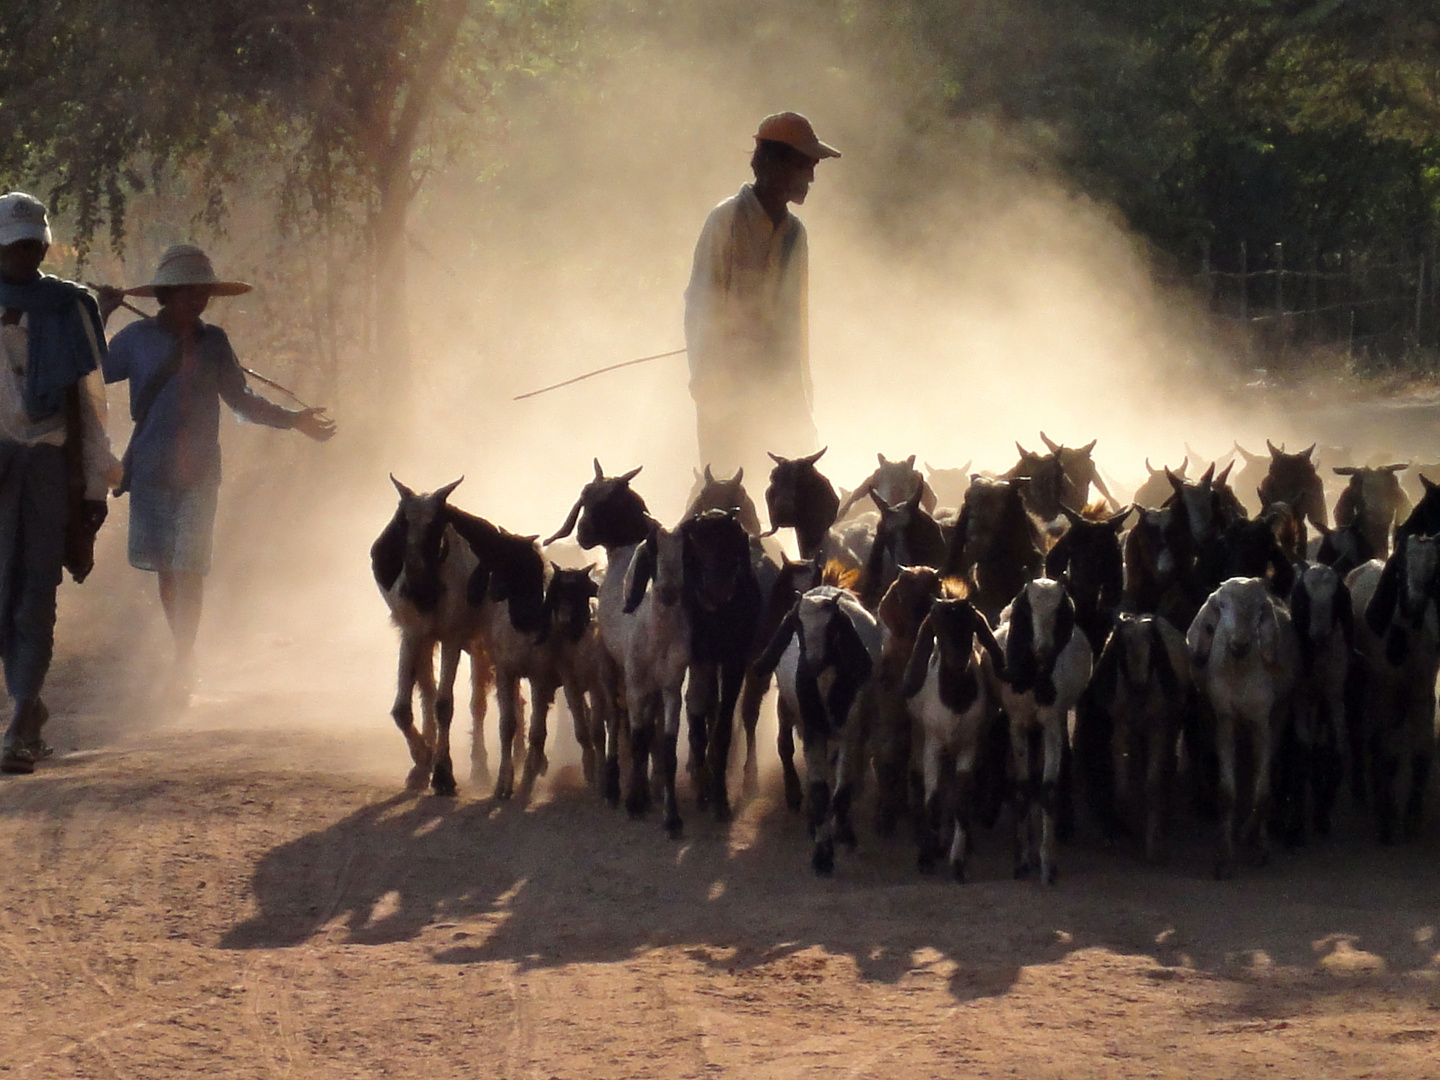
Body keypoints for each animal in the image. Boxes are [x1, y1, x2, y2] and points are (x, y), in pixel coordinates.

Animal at [760, 584, 881, 881]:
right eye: (797, 624)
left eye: (832, 627)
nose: (812, 664)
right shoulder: (813, 731)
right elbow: (819, 791)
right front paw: (822, 855)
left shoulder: (850, 731)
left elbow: (843, 786)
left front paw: (843, 833)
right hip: (787, 709)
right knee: (785, 746)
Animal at [898, 593, 1002, 881]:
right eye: (938, 627)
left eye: (970, 626)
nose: (958, 660)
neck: (955, 700)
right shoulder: (933, 746)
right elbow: (932, 802)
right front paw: (931, 850)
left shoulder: (969, 745)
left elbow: (961, 802)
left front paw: (957, 862)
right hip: (921, 739)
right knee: (919, 783)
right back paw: (929, 848)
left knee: (952, 791)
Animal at [996, 578, 1094, 881]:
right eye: (1028, 611)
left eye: (1058, 613)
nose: (1043, 648)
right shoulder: (1016, 725)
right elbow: (1022, 786)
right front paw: (1022, 862)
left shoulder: (1050, 723)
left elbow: (1047, 788)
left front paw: (1047, 865)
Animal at [1186, 576, 1301, 881]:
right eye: (1223, 606)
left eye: (1260, 610)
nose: (1240, 643)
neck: (1240, 673)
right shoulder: (1224, 719)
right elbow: (1227, 792)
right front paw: (1224, 857)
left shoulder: (1262, 721)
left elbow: (1262, 791)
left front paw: (1252, 839)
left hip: (1279, 714)